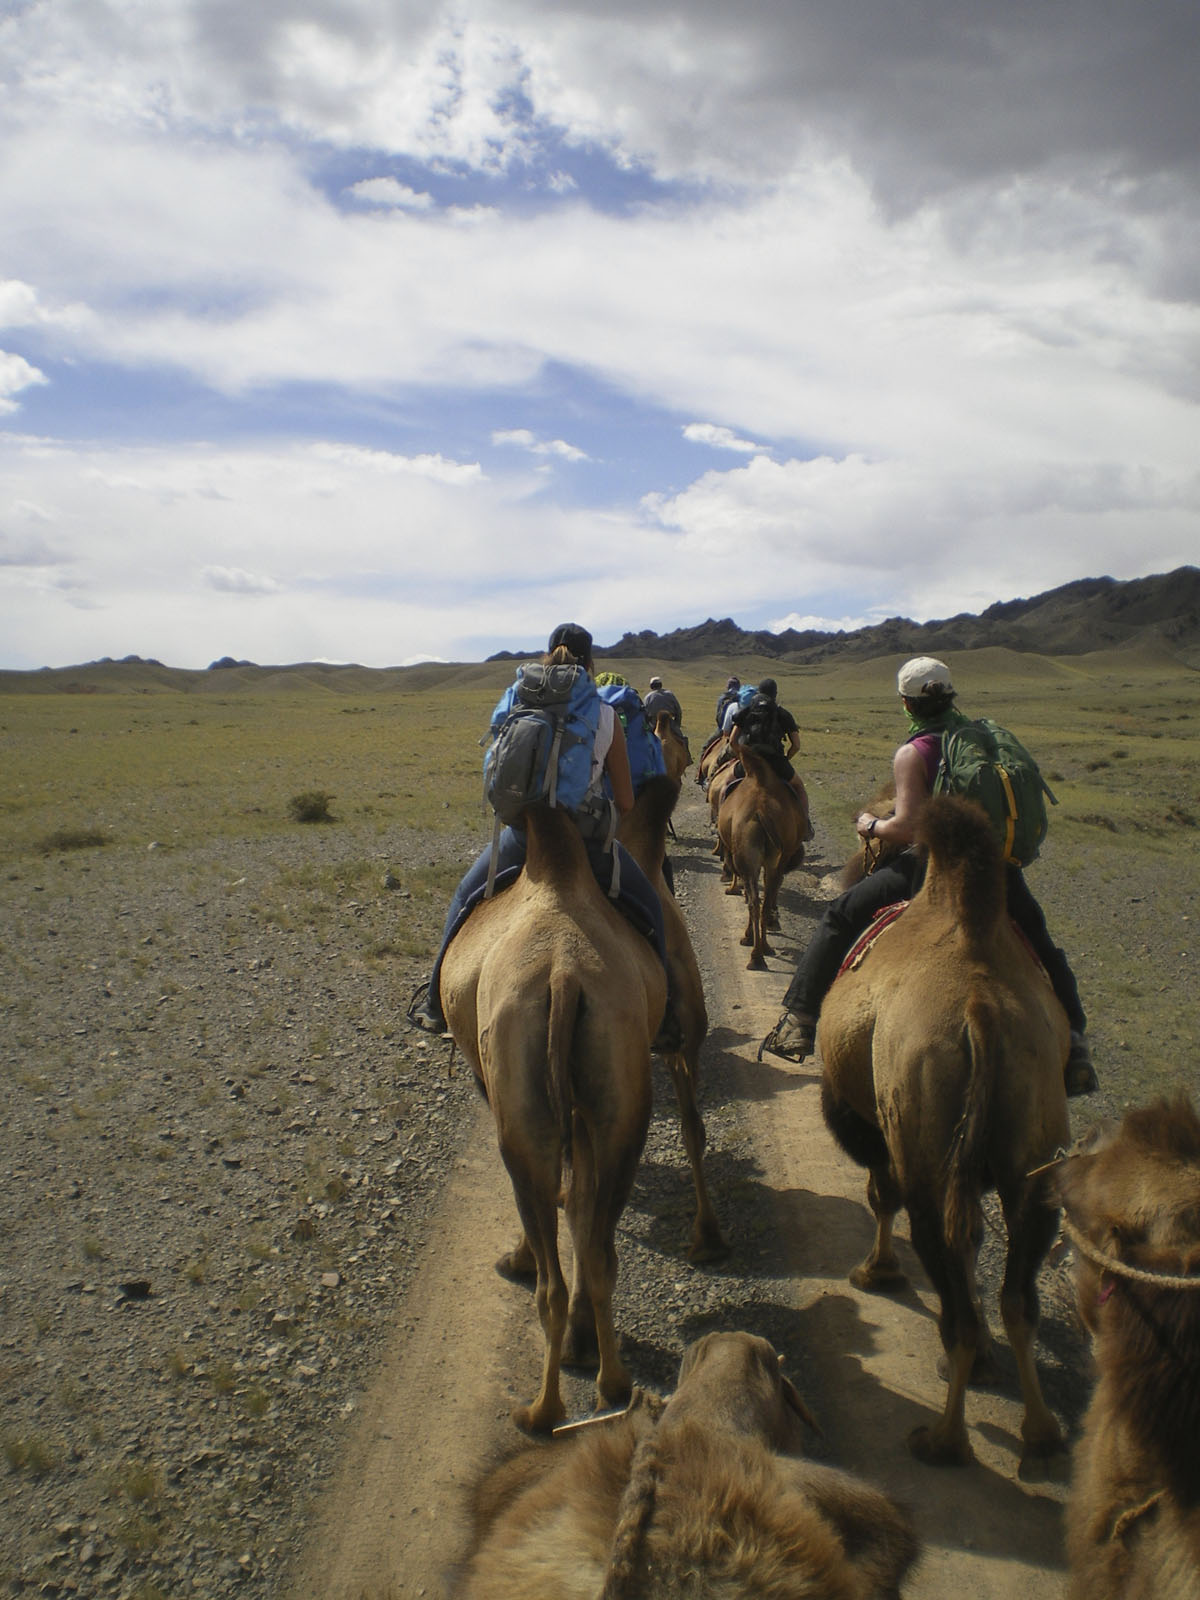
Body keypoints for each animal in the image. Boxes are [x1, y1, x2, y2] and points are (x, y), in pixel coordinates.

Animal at [438, 796, 668, 1427]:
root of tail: (564, 975)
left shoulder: (492, 1084)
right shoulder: (587, 1114)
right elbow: (583, 1203)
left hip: (521, 1117)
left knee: (550, 1278)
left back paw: (542, 1411)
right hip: (621, 1100)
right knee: (601, 1251)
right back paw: (611, 1382)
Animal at [720, 742, 812, 966]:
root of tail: (760, 812)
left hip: (751, 859)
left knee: (756, 899)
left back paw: (756, 952)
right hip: (774, 859)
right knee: (767, 896)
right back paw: (763, 948)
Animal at [819, 793, 1068, 1478]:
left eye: (873, 839)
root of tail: (978, 1012)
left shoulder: (870, 1123)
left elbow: (881, 1197)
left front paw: (876, 1271)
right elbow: (975, 1244)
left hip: (923, 1142)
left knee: (944, 1272)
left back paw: (943, 1439)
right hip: (1033, 1156)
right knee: (1020, 1295)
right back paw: (1041, 1432)